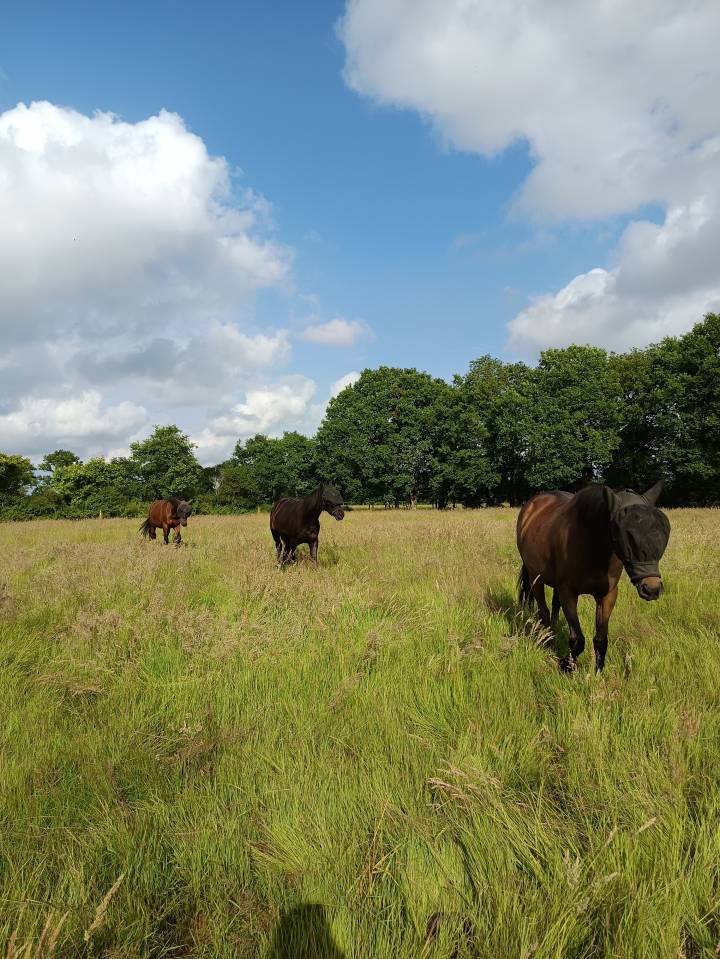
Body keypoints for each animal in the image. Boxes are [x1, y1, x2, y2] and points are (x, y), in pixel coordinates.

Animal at [516, 481, 670, 672]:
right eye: (624, 535)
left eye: (662, 532)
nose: (652, 589)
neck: (592, 547)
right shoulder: (569, 593)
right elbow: (577, 639)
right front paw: (567, 665)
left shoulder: (607, 595)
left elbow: (601, 639)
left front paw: (597, 671)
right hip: (535, 578)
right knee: (543, 613)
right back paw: (549, 643)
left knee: (554, 607)